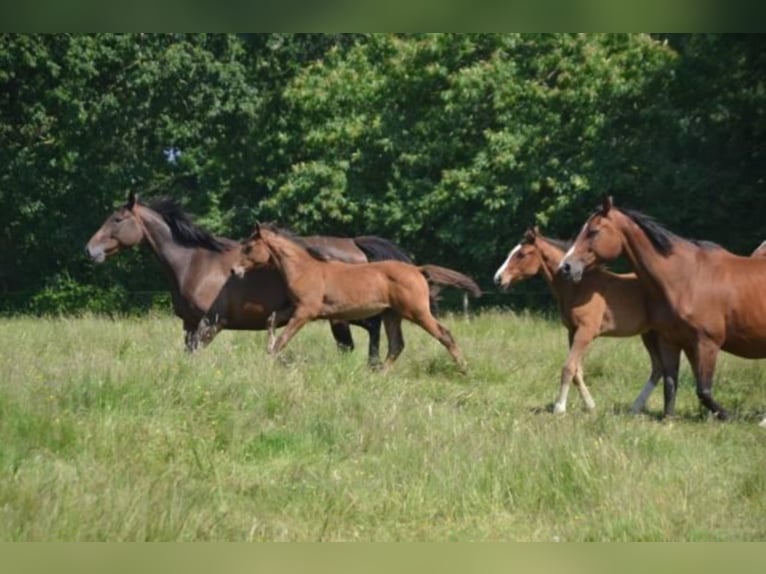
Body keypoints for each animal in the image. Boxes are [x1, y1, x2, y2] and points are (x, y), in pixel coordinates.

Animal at [85, 194, 414, 364]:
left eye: (117, 219)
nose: (90, 250)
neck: (194, 263)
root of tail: (356, 244)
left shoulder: (211, 322)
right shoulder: (189, 324)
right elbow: (188, 354)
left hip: (341, 315)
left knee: (368, 331)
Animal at [230, 223, 480, 372]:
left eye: (249, 247)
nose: (234, 270)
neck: (305, 269)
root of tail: (418, 270)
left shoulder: (306, 312)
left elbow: (284, 337)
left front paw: (271, 358)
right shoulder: (295, 308)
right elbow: (271, 320)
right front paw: (270, 350)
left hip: (416, 312)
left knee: (444, 334)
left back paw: (464, 368)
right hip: (392, 314)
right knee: (396, 345)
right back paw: (379, 373)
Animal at [492, 227, 680, 416]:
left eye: (521, 254)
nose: (498, 279)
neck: (579, 287)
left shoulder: (586, 332)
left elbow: (568, 368)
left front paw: (559, 408)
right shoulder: (573, 331)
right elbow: (577, 371)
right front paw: (590, 405)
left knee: (660, 367)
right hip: (649, 334)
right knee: (658, 367)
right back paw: (635, 407)